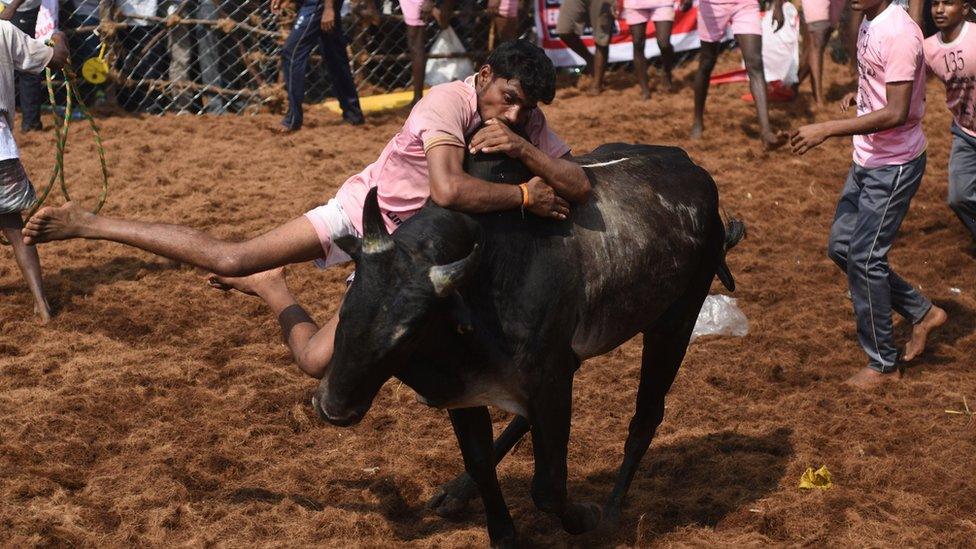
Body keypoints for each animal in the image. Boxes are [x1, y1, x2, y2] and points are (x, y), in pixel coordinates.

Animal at [310, 143, 740, 544]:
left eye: (411, 331)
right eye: (347, 306)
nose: (332, 408)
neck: (488, 279)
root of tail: (691, 167)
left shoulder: (550, 383)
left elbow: (548, 488)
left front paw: (587, 517)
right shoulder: (468, 392)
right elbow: (481, 462)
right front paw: (501, 532)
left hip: (674, 323)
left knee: (646, 418)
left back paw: (613, 513)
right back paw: (456, 492)